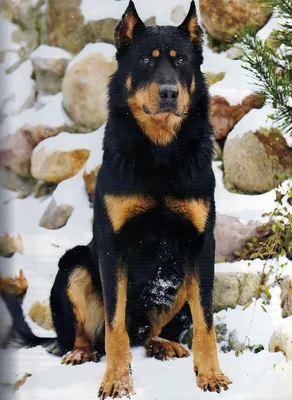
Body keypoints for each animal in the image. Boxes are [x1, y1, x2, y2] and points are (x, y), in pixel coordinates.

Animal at [5, 1, 232, 398]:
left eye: (181, 61)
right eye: (145, 60)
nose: (169, 93)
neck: (159, 153)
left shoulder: (201, 245)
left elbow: (205, 322)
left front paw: (210, 374)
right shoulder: (113, 246)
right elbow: (115, 326)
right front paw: (116, 380)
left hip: (178, 279)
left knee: (151, 332)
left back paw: (163, 344)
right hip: (75, 265)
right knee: (89, 334)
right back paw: (81, 353)